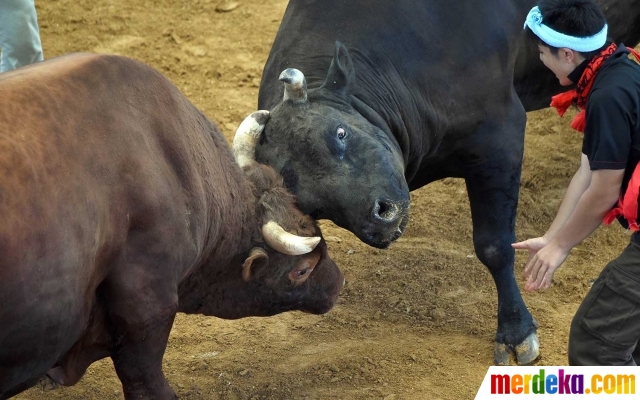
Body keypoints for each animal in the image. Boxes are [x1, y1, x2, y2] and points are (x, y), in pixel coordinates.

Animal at [254, 0, 640, 364]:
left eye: (340, 133)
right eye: (310, 204)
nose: (380, 217)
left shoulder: (501, 134)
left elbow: (494, 245)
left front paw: (515, 332)